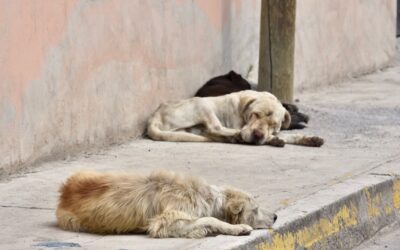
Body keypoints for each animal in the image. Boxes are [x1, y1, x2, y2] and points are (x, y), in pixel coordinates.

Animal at [55, 170, 276, 238]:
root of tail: (64, 192)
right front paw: (237, 228)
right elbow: (209, 219)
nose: (275, 216)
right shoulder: (166, 221)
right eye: (255, 210)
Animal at [146, 90, 322, 146]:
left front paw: (309, 138)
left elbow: (289, 135)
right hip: (202, 104)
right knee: (215, 128)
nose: (258, 134)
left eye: (273, 124)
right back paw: (237, 136)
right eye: (256, 114)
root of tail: (154, 117)